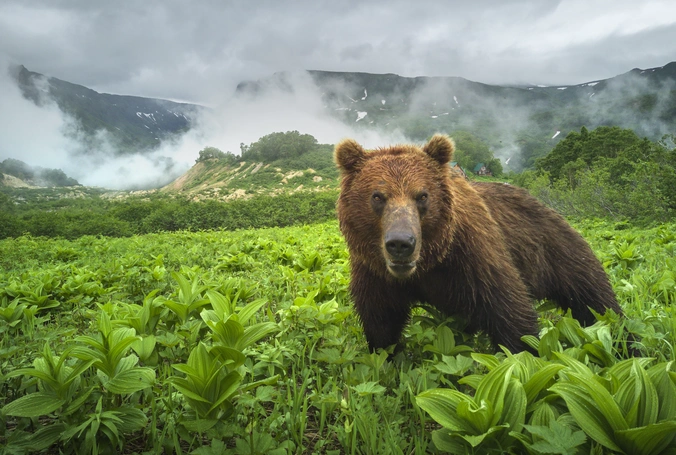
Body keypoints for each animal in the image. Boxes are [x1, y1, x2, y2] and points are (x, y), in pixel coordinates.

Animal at [336, 134, 624, 354]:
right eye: (377, 196)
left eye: (422, 195)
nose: (401, 243)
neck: (429, 264)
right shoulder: (374, 271)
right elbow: (381, 319)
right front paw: (387, 355)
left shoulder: (474, 257)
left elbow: (511, 313)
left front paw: (521, 356)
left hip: (558, 250)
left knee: (595, 300)